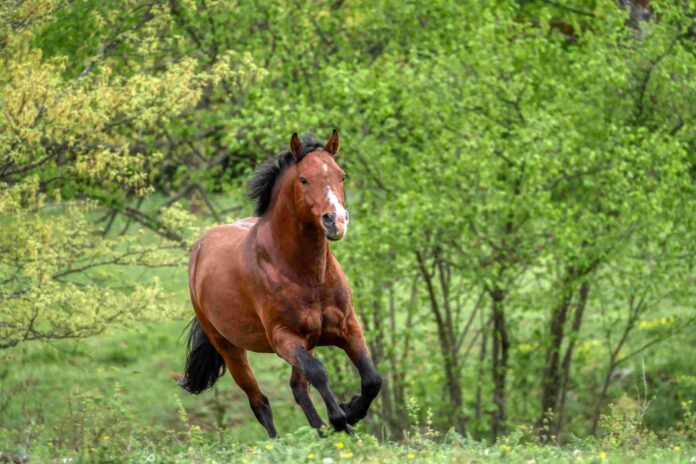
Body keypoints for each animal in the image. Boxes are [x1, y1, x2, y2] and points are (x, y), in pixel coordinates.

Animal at [176, 130, 382, 437]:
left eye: (342, 175)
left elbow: (371, 379)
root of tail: (199, 248)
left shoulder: (347, 327)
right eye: (303, 179)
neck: (309, 275)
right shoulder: (283, 337)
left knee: (298, 387)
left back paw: (323, 431)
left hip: (307, 340)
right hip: (230, 348)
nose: (336, 221)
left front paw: (350, 413)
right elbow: (319, 372)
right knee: (260, 402)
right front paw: (341, 418)